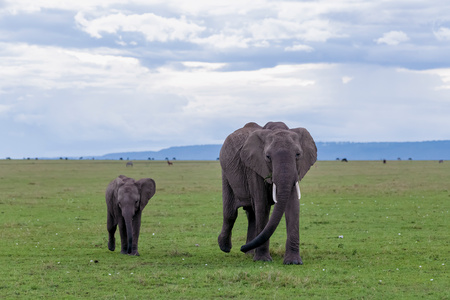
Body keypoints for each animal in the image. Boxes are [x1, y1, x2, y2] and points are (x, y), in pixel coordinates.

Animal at [218, 122, 316, 264]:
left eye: (298, 154)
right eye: (268, 157)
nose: (241, 247)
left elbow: (292, 206)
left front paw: (293, 262)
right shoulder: (254, 167)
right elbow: (262, 205)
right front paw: (262, 260)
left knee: (251, 214)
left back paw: (249, 253)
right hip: (226, 172)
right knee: (231, 213)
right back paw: (225, 247)